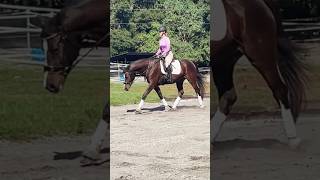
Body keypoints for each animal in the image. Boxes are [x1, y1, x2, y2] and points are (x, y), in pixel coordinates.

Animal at [211, 0, 306, 148]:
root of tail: (259, 3)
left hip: (260, 55)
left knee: (280, 89)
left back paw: (293, 139)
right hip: (223, 60)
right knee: (228, 97)